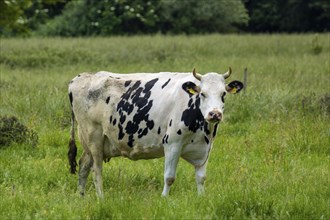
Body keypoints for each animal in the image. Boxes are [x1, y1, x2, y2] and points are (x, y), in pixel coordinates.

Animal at [67, 67, 242, 198]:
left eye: (223, 94)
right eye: (203, 94)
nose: (215, 114)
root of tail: (82, 77)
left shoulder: (205, 148)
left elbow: (201, 178)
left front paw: (201, 198)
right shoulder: (172, 143)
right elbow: (169, 177)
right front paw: (164, 198)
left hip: (91, 142)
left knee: (83, 166)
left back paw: (81, 196)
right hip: (93, 137)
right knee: (96, 170)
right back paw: (101, 198)